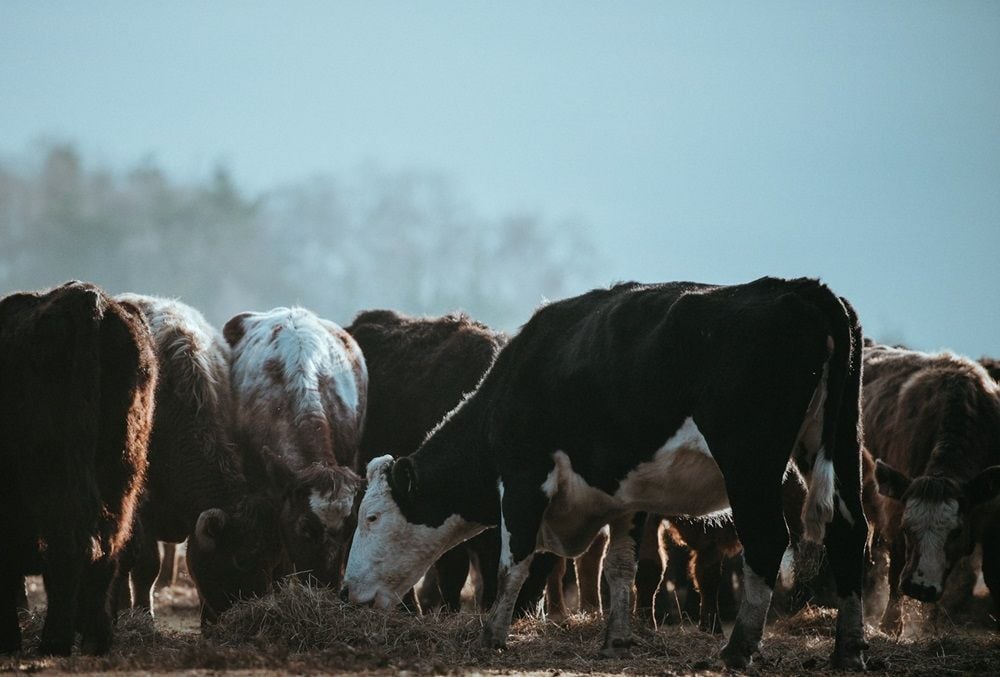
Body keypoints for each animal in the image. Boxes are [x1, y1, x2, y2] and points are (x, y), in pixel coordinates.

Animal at [0, 281, 157, 655]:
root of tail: (87, 298)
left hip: (50, 471)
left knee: (66, 545)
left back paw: (54, 640)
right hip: (122, 473)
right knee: (107, 547)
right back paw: (96, 638)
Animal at [343, 277, 868, 670]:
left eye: (371, 518)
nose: (347, 592)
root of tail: (802, 289)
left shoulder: (524, 478)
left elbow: (514, 561)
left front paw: (492, 634)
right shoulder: (624, 498)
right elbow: (620, 567)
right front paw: (615, 639)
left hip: (750, 461)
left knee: (767, 542)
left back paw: (738, 649)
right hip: (836, 444)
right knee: (849, 532)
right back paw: (849, 650)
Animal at [866, 344, 1000, 634]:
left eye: (956, 531)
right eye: (907, 528)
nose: (920, 587)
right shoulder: (895, 508)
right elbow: (896, 563)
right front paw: (891, 624)